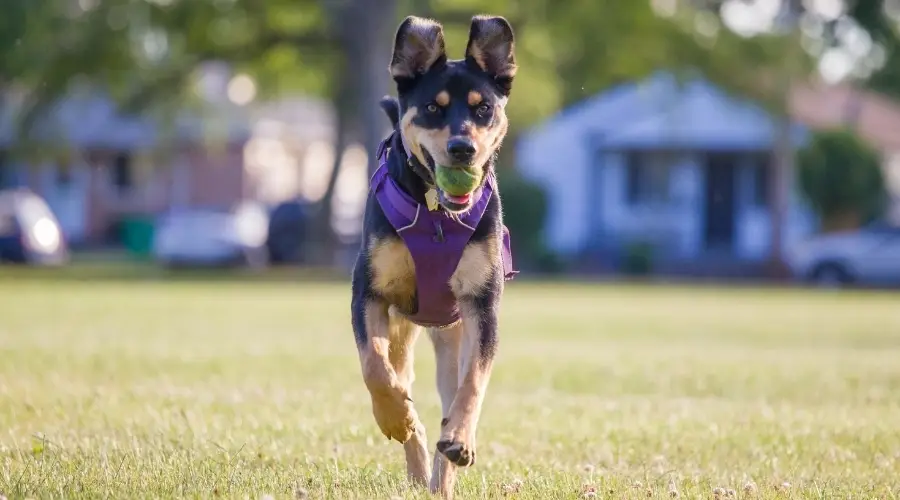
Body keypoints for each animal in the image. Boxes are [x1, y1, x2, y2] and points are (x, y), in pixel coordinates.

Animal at [354, 13, 520, 498]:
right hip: (402, 330)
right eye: (432, 107)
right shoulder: (369, 293)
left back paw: (444, 470)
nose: (463, 149)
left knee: (452, 392)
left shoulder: (482, 304)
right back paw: (412, 448)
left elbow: (474, 382)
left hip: (453, 333)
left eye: (484, 109)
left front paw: (461, 439)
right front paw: (395, 418)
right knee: (399, 379)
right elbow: (374, 366)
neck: (436, 217)